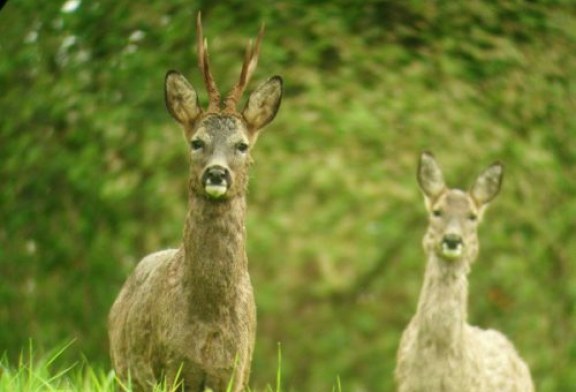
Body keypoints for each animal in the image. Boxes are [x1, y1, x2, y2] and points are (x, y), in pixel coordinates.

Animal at [108, 13, 284, 392]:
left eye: (242, 145)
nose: (216, 174)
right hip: (124, 370)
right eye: (196, 142)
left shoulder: (236, 371)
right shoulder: (166, 367)